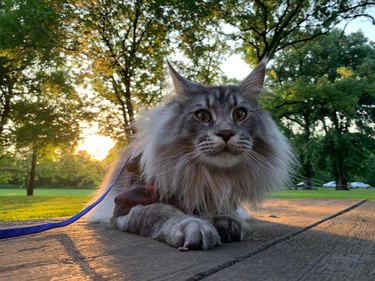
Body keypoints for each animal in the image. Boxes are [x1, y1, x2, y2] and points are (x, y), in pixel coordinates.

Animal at [88, 58, 296, 249]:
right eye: (203, 116)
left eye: (240, 115)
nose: (226, 133)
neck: (208, 176)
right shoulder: (125, 204)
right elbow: (159, 212)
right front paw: (194, 226)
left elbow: (219, 210)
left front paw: (223, 220)